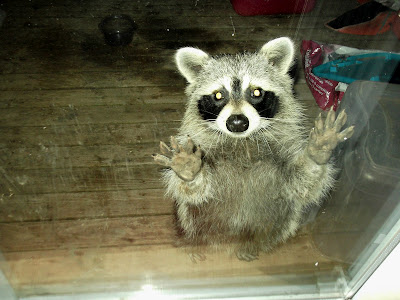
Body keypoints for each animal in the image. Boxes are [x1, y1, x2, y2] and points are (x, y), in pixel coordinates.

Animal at [152, 37, 354, 262]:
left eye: (256, 92)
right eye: (218, 95)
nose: (237, 122)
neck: (243, 140)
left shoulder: (285, 151)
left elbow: (301, 185)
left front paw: (316, 153)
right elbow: (194, 192)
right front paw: (189, 170)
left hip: (278, 224)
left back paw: (251, 246)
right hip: (191, 222)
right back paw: (194, 247)